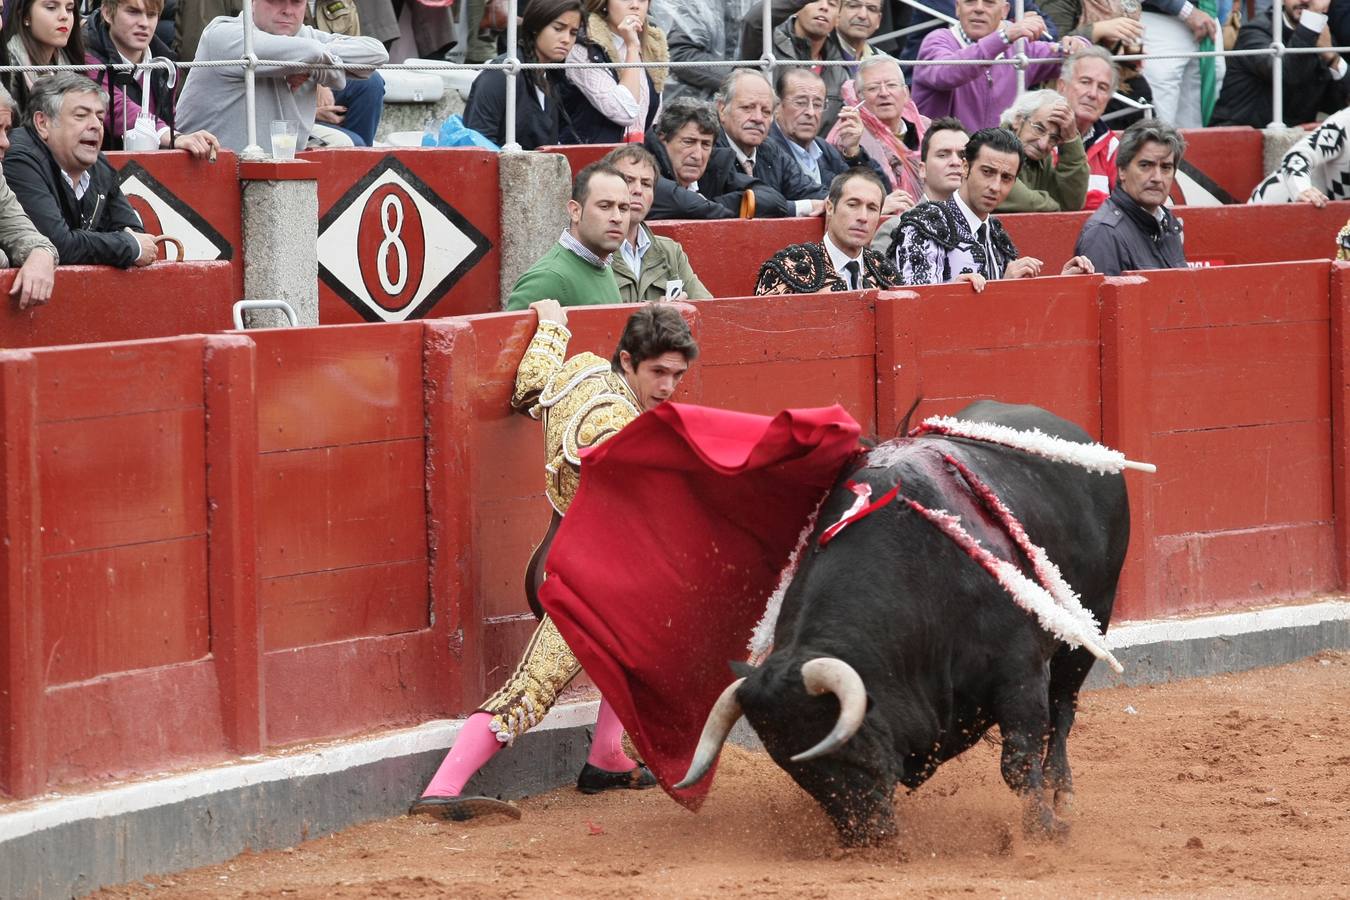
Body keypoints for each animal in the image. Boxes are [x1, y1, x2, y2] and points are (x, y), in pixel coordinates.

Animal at [675, 402, 1128, 847]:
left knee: (1063, 708)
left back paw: (1061, 791)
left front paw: (1044, 830)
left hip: (1091, 623)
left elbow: (1018, 759)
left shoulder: (1021, 672)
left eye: (849, 746)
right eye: (795, 769)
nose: (868, 838)